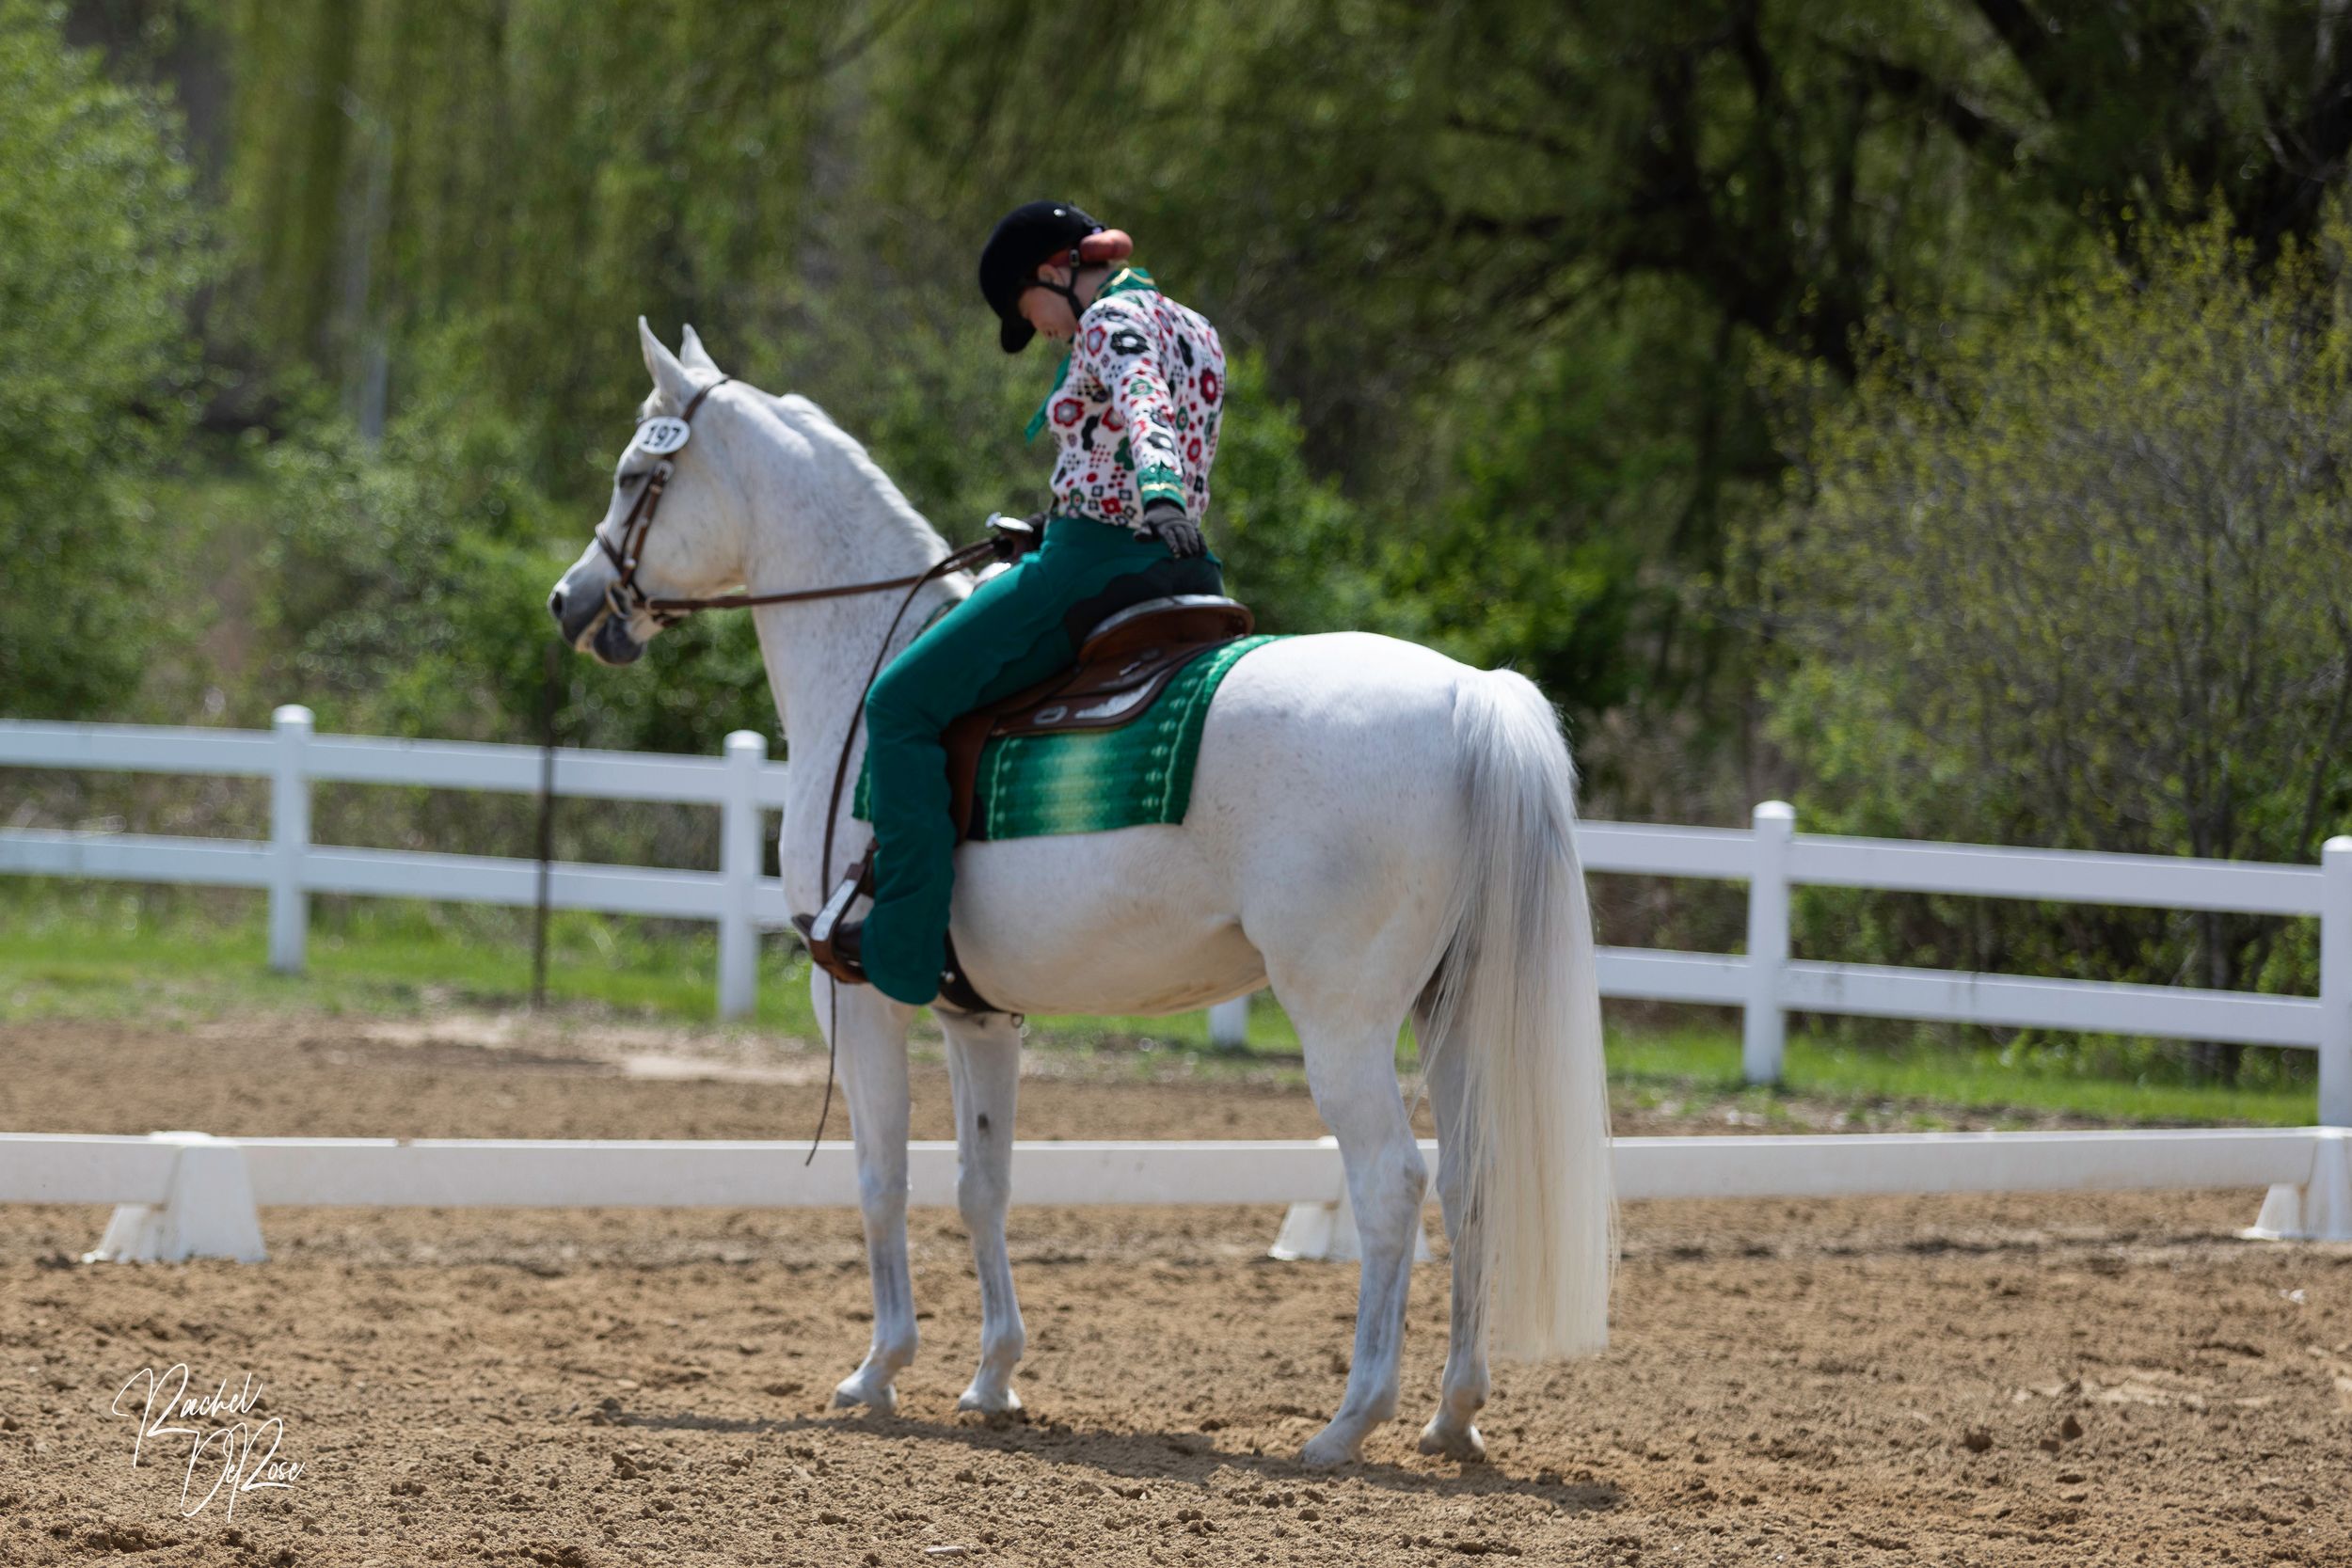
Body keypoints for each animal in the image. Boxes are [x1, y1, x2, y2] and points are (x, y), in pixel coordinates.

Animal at [547, 320, 1616, 1467]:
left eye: (635, 474)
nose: (571, 601)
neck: (860, 669)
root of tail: (1469, 696)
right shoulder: (978, 1016)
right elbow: (982, 1184)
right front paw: (992, 1377)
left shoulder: (860, 996)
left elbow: (883, 1179)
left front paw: (878, 1369)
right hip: (1449, 1006)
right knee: (1471, 1181)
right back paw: (1451, 1413)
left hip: (1342, 1021)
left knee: (1391, 1186)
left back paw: (1346, 1421)